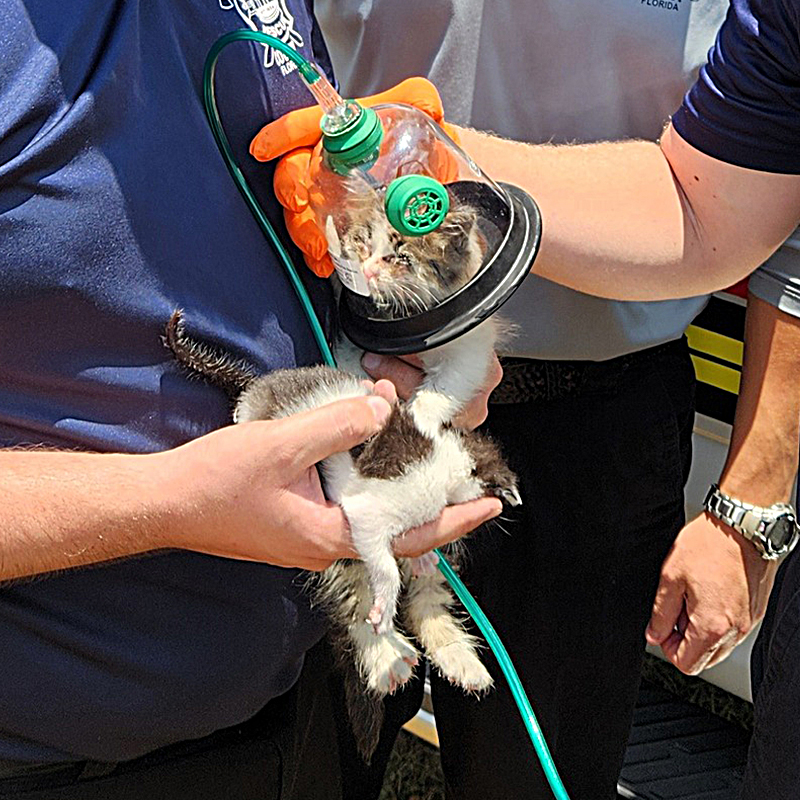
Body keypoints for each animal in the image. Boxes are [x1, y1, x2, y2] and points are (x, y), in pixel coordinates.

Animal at [166, 310, 520, 760]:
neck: (445, 461)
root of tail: (256, 387)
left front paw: (423, 557)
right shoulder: (369, 512)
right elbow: (385, 567)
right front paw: (385, 604)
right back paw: (388, 654)